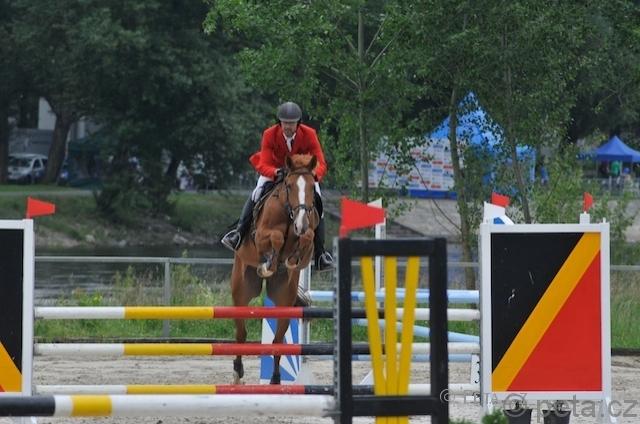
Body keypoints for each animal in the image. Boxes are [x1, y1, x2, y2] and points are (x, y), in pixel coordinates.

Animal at [230, 153, 320, 384]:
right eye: (288, 185)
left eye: (311, 186)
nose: (300, 223)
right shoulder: (261, 235)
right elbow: (276, 237)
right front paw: (269, 263)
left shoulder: (309, 237)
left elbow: (307, 238)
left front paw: (291, 257)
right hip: (242, 289)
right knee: (241, 333)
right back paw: (237, 373)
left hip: (284, 298)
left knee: (278, 339)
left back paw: (276, 379)